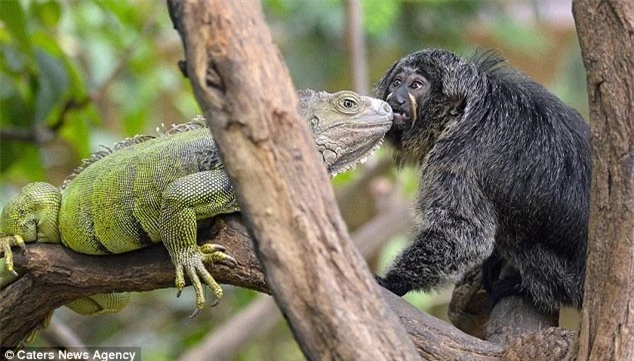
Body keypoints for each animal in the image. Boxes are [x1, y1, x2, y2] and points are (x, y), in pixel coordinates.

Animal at [372, 48, 592, 312]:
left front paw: (393, 282)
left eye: (416, 85)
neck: (459, 115)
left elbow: (465, 235)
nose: (396, 98)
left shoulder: (455, 157)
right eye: (397, 83)